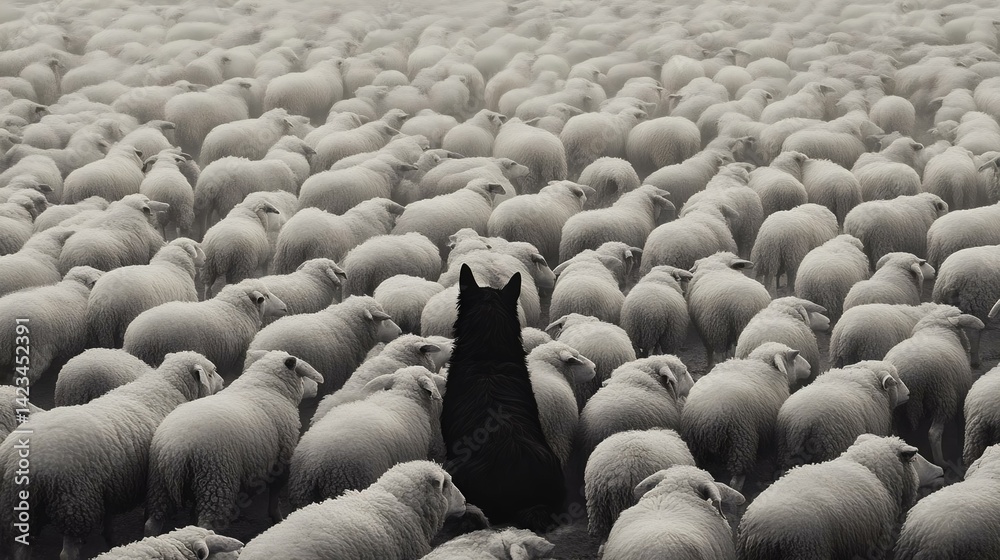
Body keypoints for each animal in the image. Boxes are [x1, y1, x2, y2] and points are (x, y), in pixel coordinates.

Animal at [0, 351, 223, 560]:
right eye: (211, 372)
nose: (222, 383)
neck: (170, 387)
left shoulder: (111, 484)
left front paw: (110, 536)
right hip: (74, 502)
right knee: (67, 552)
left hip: (22, 507)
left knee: (21, 548)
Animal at [736, 434, 943, 560]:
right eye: (916, 459)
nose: (940, 471)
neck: (872, 471)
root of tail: (763, 534)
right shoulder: (874, 544)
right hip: (807, 551)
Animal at [885, 308, 984, 470]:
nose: (975, 364)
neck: (936, 327)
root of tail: (912, 376)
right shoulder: (961, 394)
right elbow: (960, 422)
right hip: (942, 397)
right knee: (934, 433)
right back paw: (942, 463)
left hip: (896, 409)